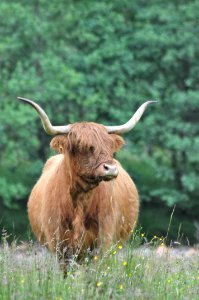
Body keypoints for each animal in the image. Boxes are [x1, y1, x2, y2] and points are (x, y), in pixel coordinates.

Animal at [17, 97, 155, 266]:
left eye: (109, 146)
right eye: (83, 146)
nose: (111, 168)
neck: (80, 200)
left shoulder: (103, 240)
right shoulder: (59, 243)